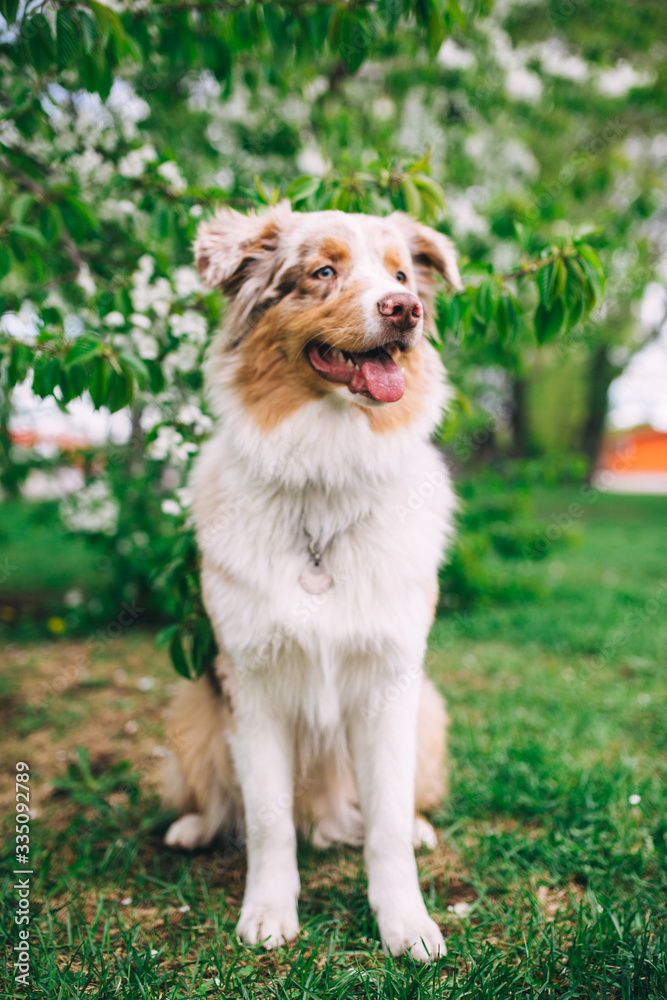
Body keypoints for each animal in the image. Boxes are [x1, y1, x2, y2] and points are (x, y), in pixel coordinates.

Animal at [164, 203, 462, 960]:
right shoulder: (251, 682)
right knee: (222, 800)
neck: (325, 481)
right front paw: (269, 913)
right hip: (193, 708)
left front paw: (406, 923)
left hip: (429, 708)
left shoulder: (391, 681)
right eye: (323, 272)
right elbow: (268, 820)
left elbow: (385, 827)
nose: (405, 310)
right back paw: (195, 827)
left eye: (399, 275)